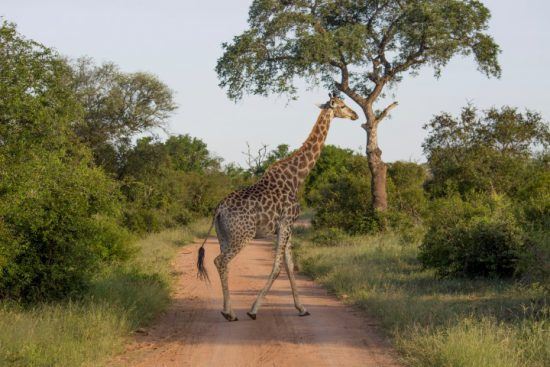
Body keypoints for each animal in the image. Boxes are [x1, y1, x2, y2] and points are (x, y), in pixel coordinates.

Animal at [199, 95, 362, 322]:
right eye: (342, 105)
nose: (355, 115)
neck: (297, 177)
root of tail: (219, 209)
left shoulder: (286, 227)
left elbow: (290, 265)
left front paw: (302, 308)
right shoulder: (287, 222)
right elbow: (277, 268)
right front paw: (253, 310)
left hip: (223, 236)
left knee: (223, 263)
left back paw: (228, 310)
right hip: (243, 235)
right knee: (220, 261)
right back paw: (229, 313)